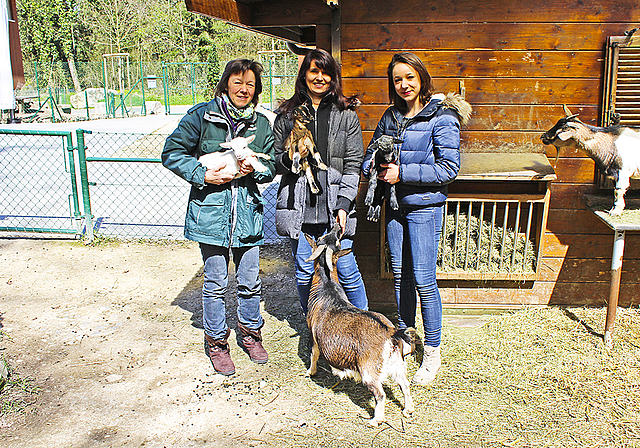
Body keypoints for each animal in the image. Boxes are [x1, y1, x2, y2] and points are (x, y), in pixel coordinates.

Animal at [304, 224, 416, 428]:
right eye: (329, 237)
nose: (337, 226)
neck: (327, 287)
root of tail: (391, 333)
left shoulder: (313, 334)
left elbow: (314, 354)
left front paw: (311, 372)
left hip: (369, 371)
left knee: (380, 394)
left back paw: (375, 420)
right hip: (397, 362)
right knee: (404, 384)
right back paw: (407, 409)